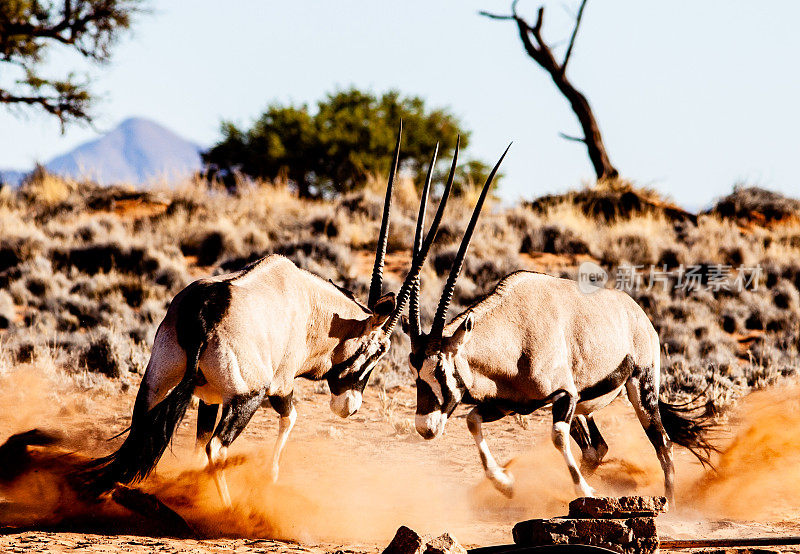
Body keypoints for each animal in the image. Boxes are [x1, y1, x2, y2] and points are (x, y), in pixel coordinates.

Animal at [81, 126, 460, 504]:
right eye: (379, 350)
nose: (348, 407)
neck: (312, 308)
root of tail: (204, 314)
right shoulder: (280, 386)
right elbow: (290, 418)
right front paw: (270, 476)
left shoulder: (208, 398)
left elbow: (197, 447)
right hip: (246, 397)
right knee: (218, 448)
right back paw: (227, 509)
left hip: (157, 382)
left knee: (146, 430)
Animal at [404, 161, 716, 504]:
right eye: (414, 369)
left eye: (441, 369)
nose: (425, 427)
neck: (514, 335)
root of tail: (637, 312)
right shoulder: (510, 404)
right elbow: (473, 420)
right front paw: (505, 483)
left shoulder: (563, 395)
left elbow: (556, 437)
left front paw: (585, 490)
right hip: (583, 404)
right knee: (597, 448)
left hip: (640, 387)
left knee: (661, 442)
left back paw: (668, 502)